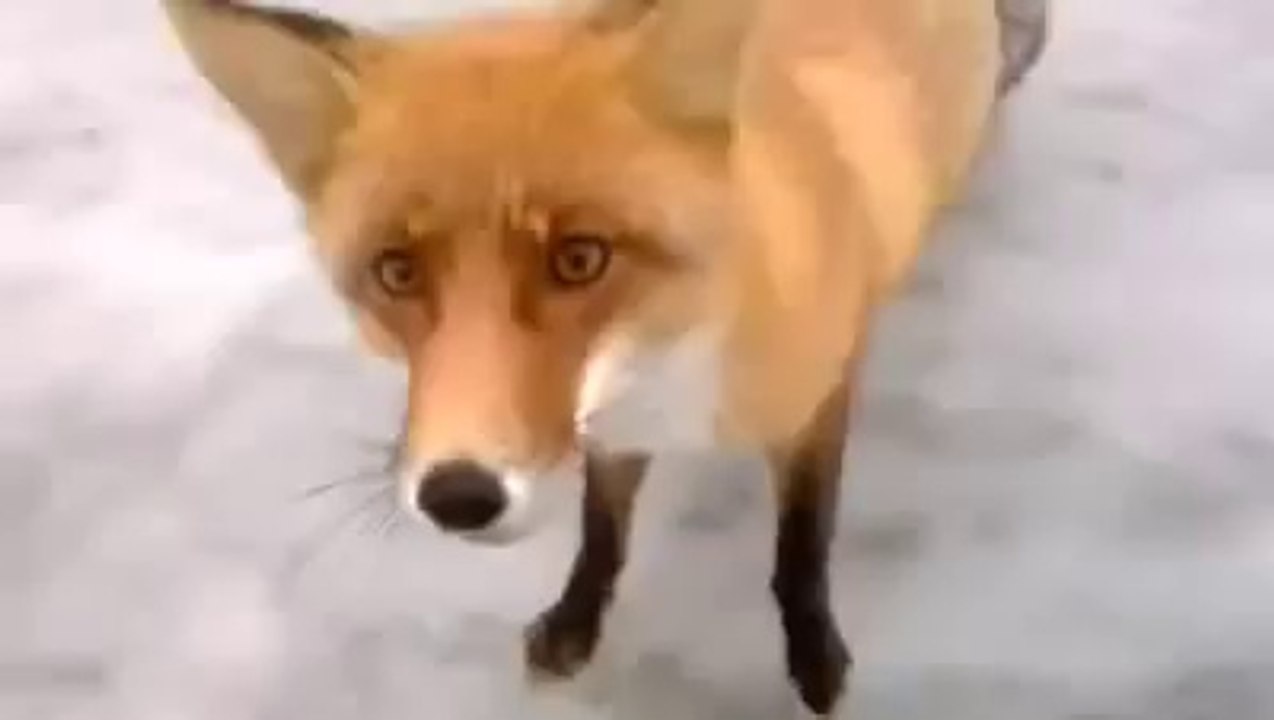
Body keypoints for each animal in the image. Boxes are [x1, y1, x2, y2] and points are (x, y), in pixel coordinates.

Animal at [162, 0, 1048, 715]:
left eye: (580, 258)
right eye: (397, 272)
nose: (459, 497)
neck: (668, 375)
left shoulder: (817, 404)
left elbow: (801, 546)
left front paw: (814, 660)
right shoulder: (612, 434)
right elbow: (602, 534)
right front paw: (576, 623)